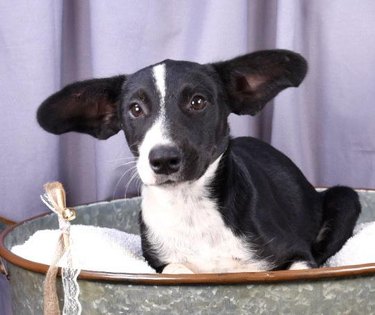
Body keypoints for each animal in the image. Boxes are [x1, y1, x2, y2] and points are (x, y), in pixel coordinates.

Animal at [37, 49, 362, 274]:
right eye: (135, 109)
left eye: (197, 102)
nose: (163, 159)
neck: (190, 208)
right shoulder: (157, 263)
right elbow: (176, 269)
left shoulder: (297, 255)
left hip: (346, 199)